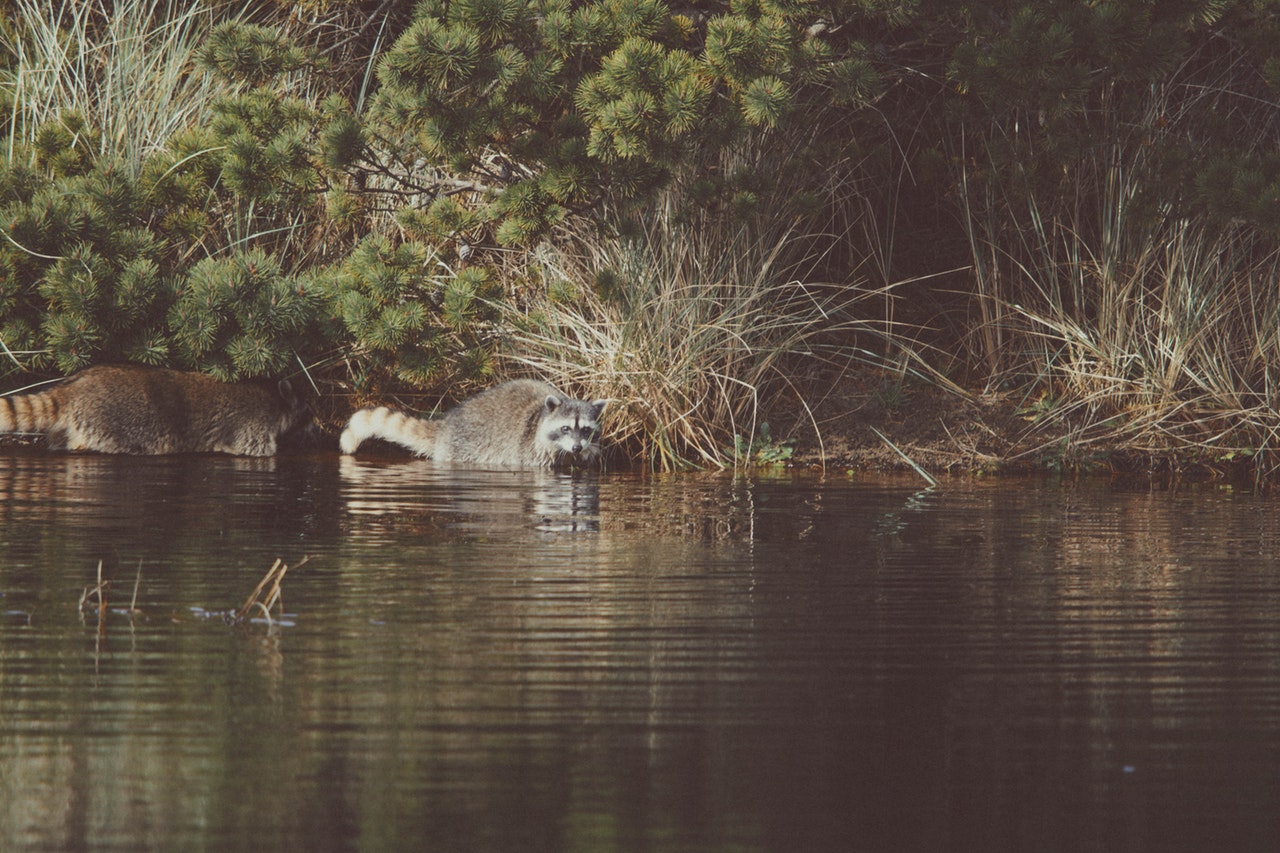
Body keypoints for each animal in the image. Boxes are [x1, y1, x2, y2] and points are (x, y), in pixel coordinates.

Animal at [0, 365, 311, 456]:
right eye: (309, 409)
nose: (315, 426)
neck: (274, 397)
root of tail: (76, 385)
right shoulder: (252, 423)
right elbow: (255, 450)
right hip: (113, 422)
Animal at [340, 379, 606, 468]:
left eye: (585, 429)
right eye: (565, 428)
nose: (577, 447)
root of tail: (447, 423)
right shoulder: (528, 450)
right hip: (463, 447)